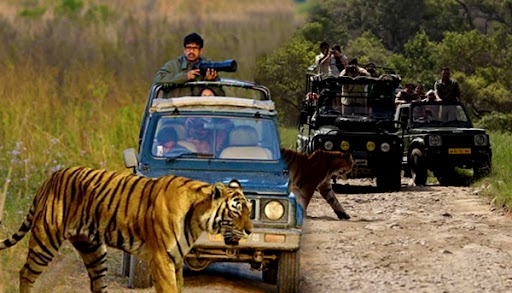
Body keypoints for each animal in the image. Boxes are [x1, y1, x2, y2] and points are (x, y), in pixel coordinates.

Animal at [0, 167, 252, 292]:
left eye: (250, 210)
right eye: (236, 212)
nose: (250, 231)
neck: (197, 217)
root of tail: (50, 177)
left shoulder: (177, 258)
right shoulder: (161, 259)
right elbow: (169, 289)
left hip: (93, 250)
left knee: (97, 283)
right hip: (46, 240)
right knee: (25, 273)